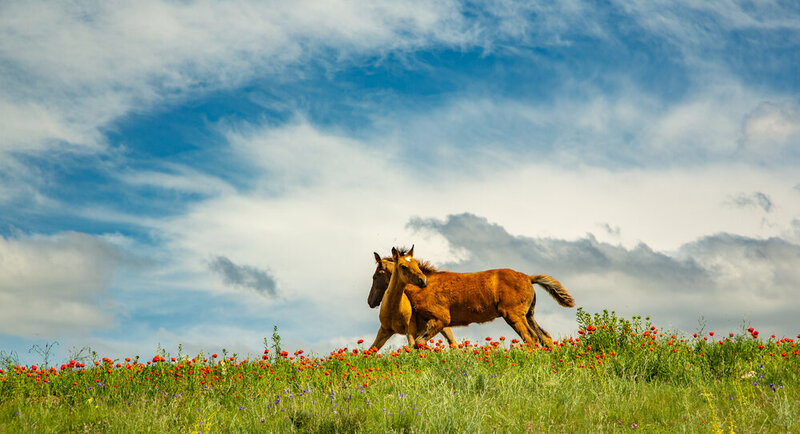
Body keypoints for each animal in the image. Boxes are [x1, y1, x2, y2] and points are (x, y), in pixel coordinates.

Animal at [370, 256, 575, 348]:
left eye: (377, 274)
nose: (371, 301)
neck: (425, 287)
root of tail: (529, 278)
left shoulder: (441, 319)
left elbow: (418, 343)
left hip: (514, 316)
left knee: (531, 339)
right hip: (529, 315)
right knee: (544, 338)